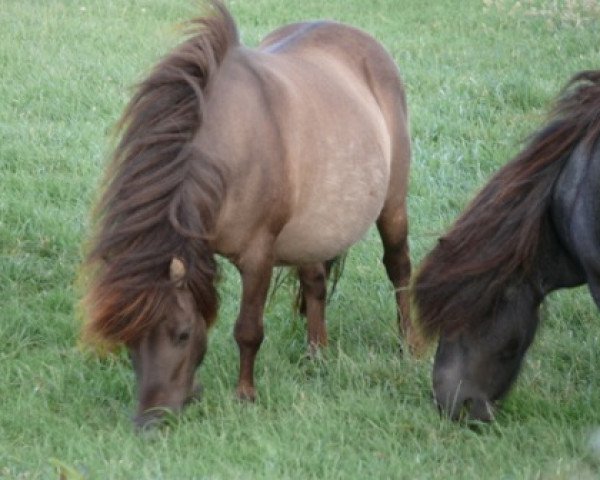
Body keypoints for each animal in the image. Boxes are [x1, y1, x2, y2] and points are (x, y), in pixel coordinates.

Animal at [84, 0, 414, 428]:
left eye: (183, 334)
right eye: (128, 339)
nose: (149, 423)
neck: (231, 149)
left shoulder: (259, 257)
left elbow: (248, 329)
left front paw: (245, 395)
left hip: (392, 206)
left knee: (399, 269)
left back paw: (409, 345)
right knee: (315, 282)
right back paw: (316, 354)